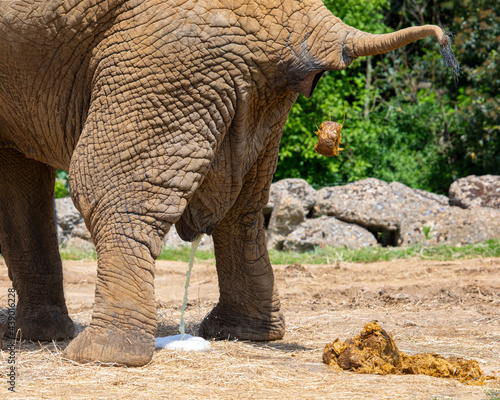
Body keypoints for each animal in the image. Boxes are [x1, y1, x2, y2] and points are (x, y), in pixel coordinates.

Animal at [0, 0, 458, 366]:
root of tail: (316, 17)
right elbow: (18, 188)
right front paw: (32, 336)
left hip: (170, 55)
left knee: (106, 187)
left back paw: (100, 355)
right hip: (252, 83)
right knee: (245, 208)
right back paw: (238, 334)